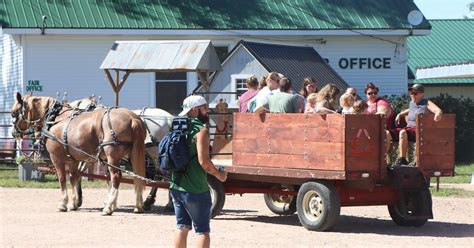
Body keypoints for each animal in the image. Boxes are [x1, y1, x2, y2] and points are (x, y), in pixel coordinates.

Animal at [12, 93, 147, 215]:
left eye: (13, 113)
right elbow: (74, 177)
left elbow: (62, 178)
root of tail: (132, 118)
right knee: (137, 177)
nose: (14, 133)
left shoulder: (57, 158)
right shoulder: (73, 159)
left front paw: (63, 204)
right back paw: (138, 206)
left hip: (112, 156)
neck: (55, 119)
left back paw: (108, 208)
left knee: (116, 177)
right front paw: (74, 203)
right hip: (133, 154)